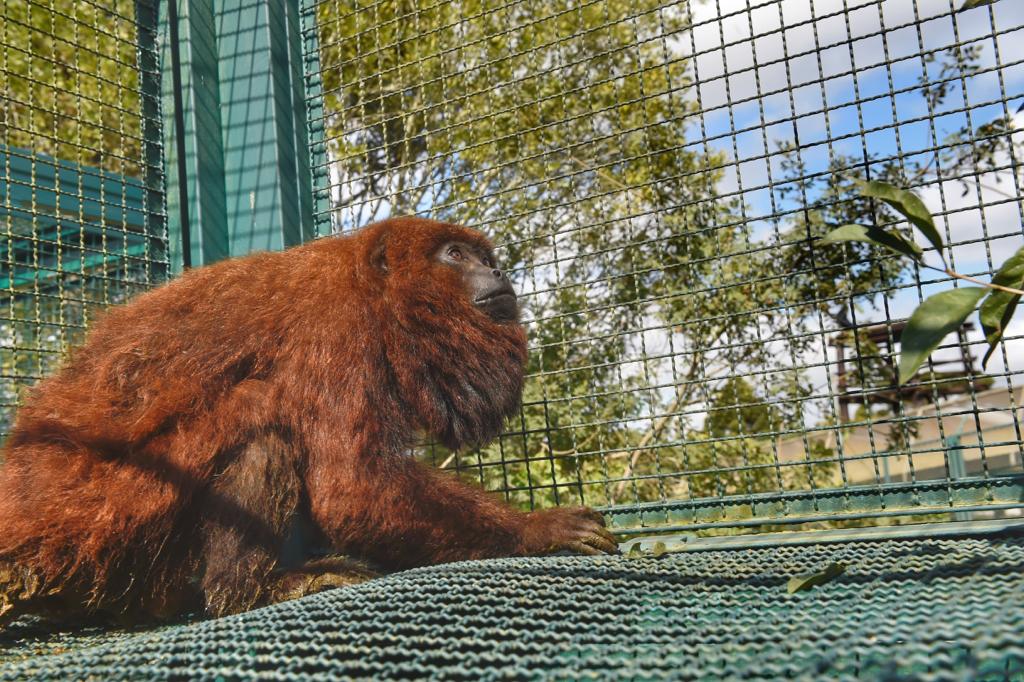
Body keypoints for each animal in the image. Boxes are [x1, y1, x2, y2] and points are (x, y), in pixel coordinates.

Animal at [0, 216, 614, 622]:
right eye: (455, 256)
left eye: (485, 259)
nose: (499, 274)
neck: (374, 290)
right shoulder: (337, 327)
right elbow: (352, 484)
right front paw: (539, 530)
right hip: (104, 515)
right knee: (260, 411)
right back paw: (248, 593)